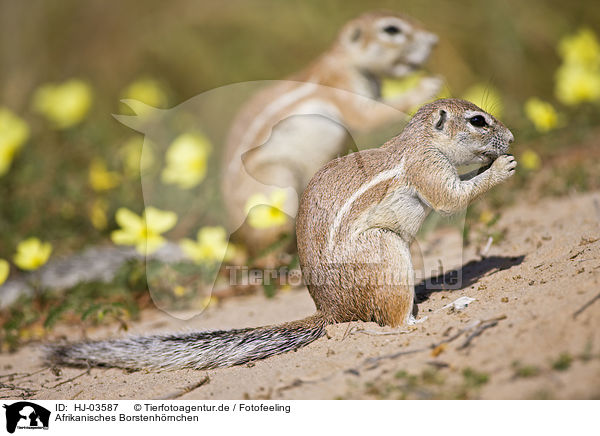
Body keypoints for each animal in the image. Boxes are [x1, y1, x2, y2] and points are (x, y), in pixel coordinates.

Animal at [45, 99, 516, 372]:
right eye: (478, 121)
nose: (512, 137)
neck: (420, 141)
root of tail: (332, 314)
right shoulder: (426, 168)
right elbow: (451, 198)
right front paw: (500, 169)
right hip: (386, 253)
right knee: (391, 320)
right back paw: (435, 313)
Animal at [221, 10, 440, 258]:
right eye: (391, 29)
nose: (434, 41)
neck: (343, 59)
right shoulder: (344, 88)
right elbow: (368, 116)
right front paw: (426, 87)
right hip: (277, 183)